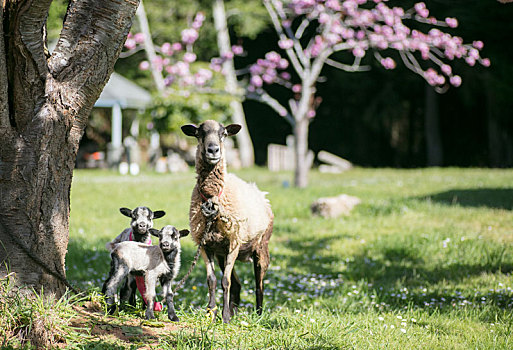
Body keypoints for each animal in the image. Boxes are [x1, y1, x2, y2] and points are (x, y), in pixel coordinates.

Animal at [182, 120, 274, 322]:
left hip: (260, 247)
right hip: (222, 254)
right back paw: (234, 311)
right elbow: (212, 280)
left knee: (259, 285)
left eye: (223, 133)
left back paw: (258, 314)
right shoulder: (205, 245)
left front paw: (224, 318)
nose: (213, 150)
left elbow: (226, 281)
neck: (212, 198)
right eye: (199, 133)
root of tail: (263, 196)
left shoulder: (234, 242)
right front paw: (211, 313)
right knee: (238, 285)